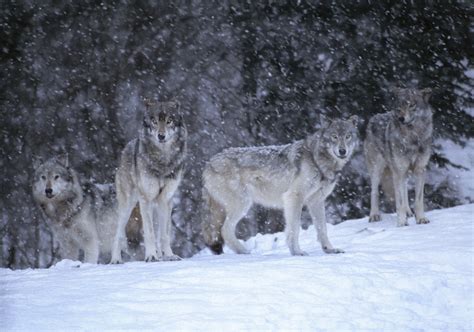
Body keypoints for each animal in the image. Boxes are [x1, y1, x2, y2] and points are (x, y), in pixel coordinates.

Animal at [110, 100, 186, 264]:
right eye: (154, 121)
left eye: (169, 121)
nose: (161, 136)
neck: (163, 160)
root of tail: (127, 147)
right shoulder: (145, 199)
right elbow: (149, 232)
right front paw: (151, 256)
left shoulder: (166, 200)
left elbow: (165, 234)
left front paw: (169, 255)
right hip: (129, 205)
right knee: (118, 232)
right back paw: (116, 259)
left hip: (157, 206)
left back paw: (161, 255)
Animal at [201, 115, 360, 255]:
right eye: (334, 136)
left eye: (348, 136)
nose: (342, 151)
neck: (317, 161)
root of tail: (209, 164)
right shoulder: (294, 197)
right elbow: (294, 228)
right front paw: (296, 252)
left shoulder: (316, 201)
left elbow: (322, 229)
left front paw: (329, 250)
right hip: (242, 204)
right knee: (224, 230)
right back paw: (244, 251)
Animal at [364, 87, 436, 227]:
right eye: (399, 106)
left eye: (411, 105)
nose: (401, 118)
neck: (412, 137)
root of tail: (373, 118)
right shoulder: (399, 170)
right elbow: (400, 201)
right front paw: (402, 223)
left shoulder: (419, 170)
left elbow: (418, 200)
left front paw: (421, 219)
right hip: (378, 170)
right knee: (374, 192)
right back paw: (374, 215)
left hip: (403, 173)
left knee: (404, 189)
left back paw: (409, 212)